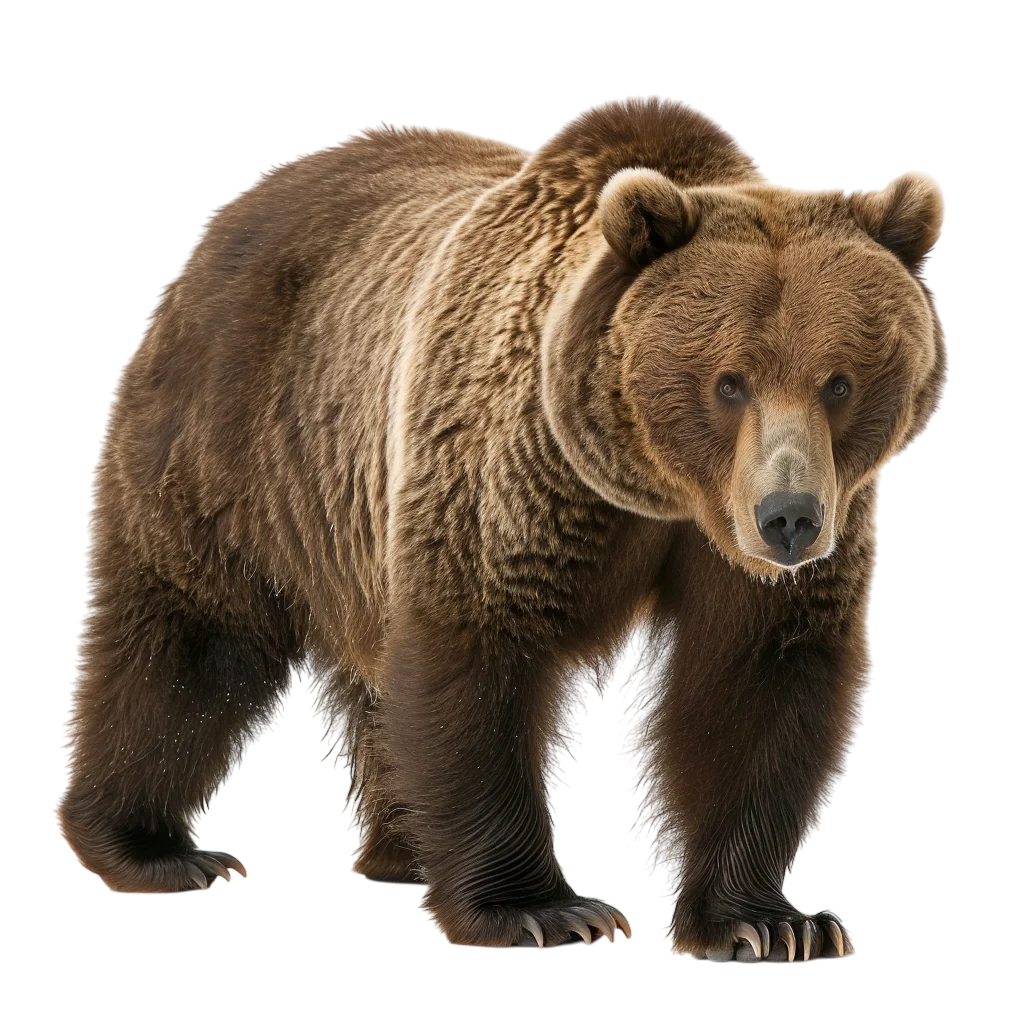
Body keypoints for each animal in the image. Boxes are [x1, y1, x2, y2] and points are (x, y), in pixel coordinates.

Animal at [58, 96, 946, 959]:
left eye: (839, 382)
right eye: (730, 382)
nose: (788, 518)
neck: (657, 486)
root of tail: (236, 207)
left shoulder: (761, 539)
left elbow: (756, 678)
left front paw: (771, 922)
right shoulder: (510, 467)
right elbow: (481, 650)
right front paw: (543, 911)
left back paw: (399, 847)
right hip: (238, 431)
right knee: (191, 631)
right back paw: (154, 851)